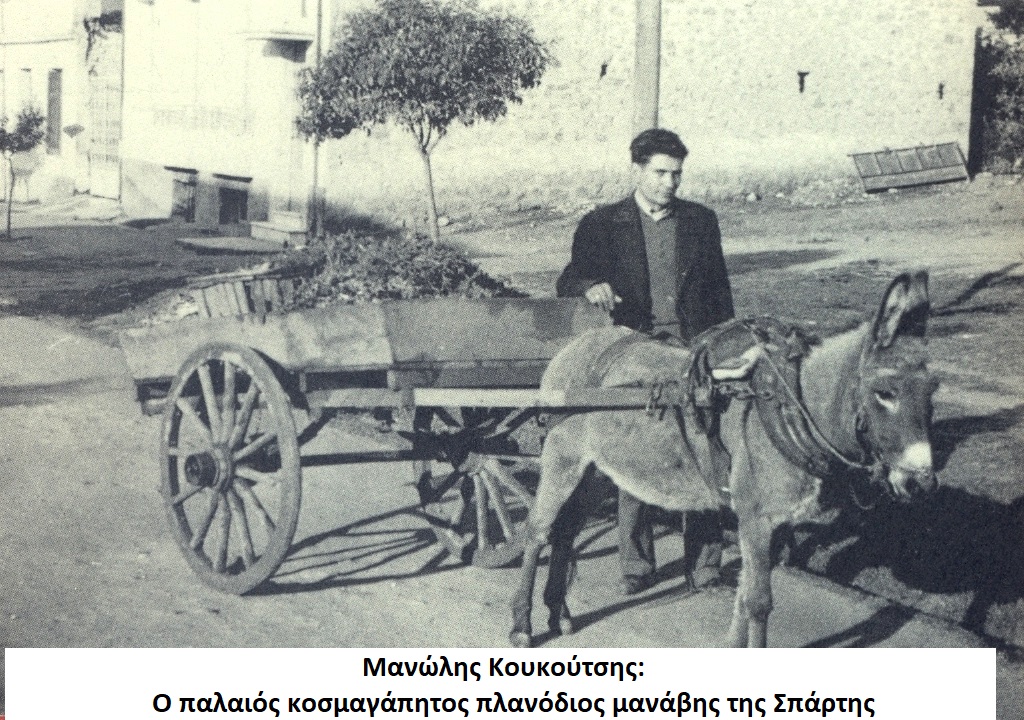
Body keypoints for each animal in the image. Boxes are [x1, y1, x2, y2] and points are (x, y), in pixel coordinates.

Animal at [510, 270, 937, 648]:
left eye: (933, 390)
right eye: (885, 392)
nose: (922, 482)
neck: (786, 408)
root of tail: (576, 345)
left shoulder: (767, 522)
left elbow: (745, 596)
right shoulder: (757, 519)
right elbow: (760, 603)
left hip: (596, 472)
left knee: (566, 532)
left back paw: (559, 613)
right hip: (562, 460)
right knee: (537, 532)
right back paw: (522, 625)